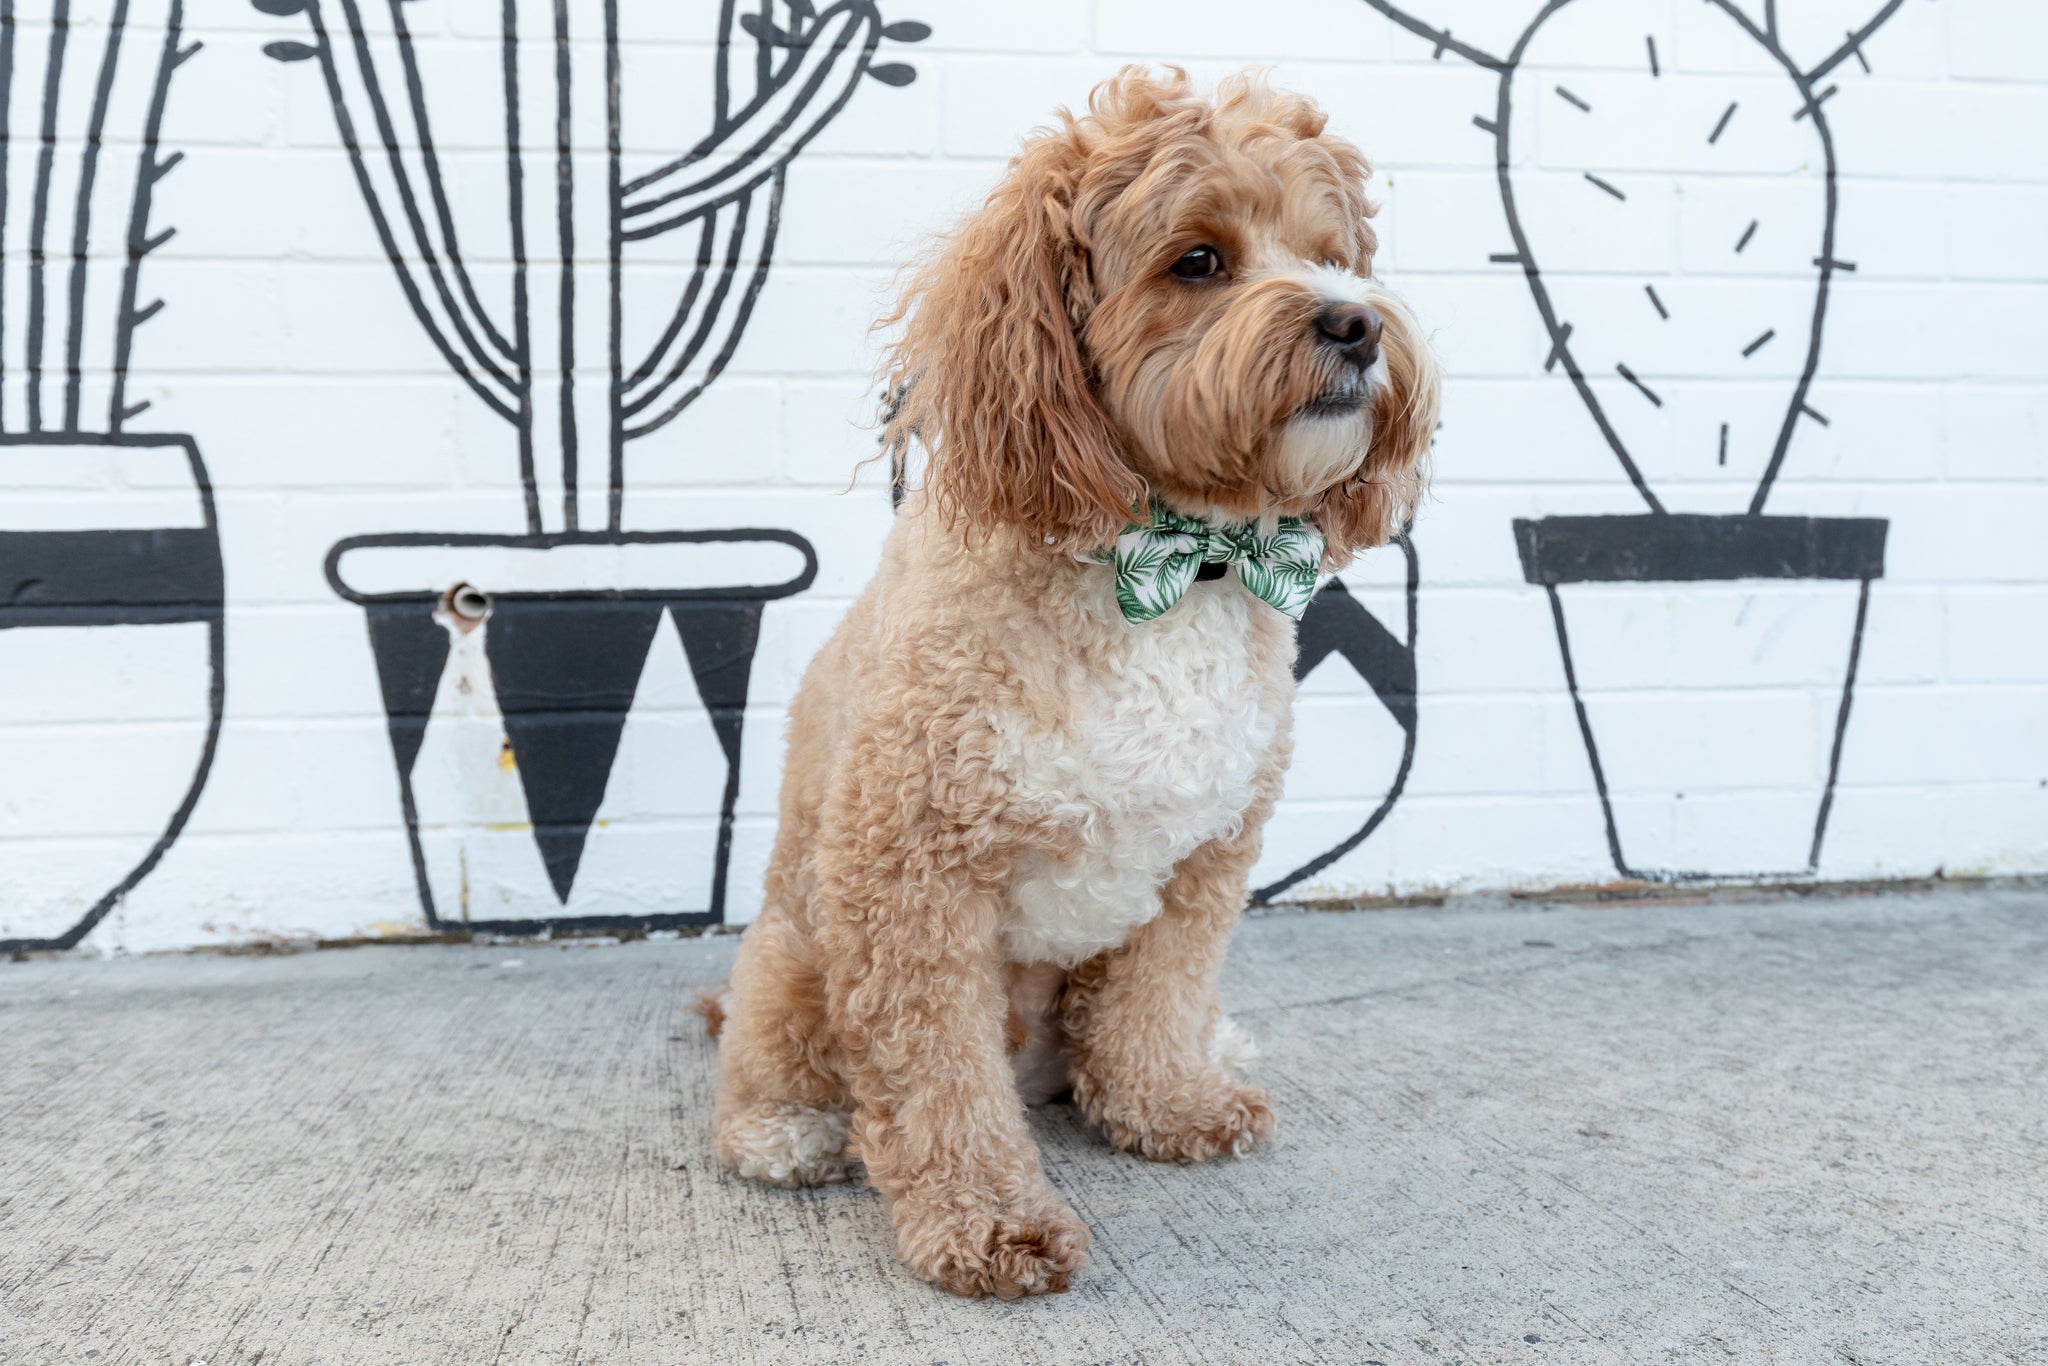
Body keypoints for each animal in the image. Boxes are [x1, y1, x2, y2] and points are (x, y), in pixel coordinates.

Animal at [712, 66, 1449, 1302]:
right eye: (1197, 260)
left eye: (1333, 253)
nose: (1354, 321)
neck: (1169, 562)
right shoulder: (909, 879)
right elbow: (936, 1081)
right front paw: (990, 1224)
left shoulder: (1206, 858)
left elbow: (1156, 998)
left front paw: (1167, 1105)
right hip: (792, 954)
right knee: (784, 1064)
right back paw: (785, 1131)